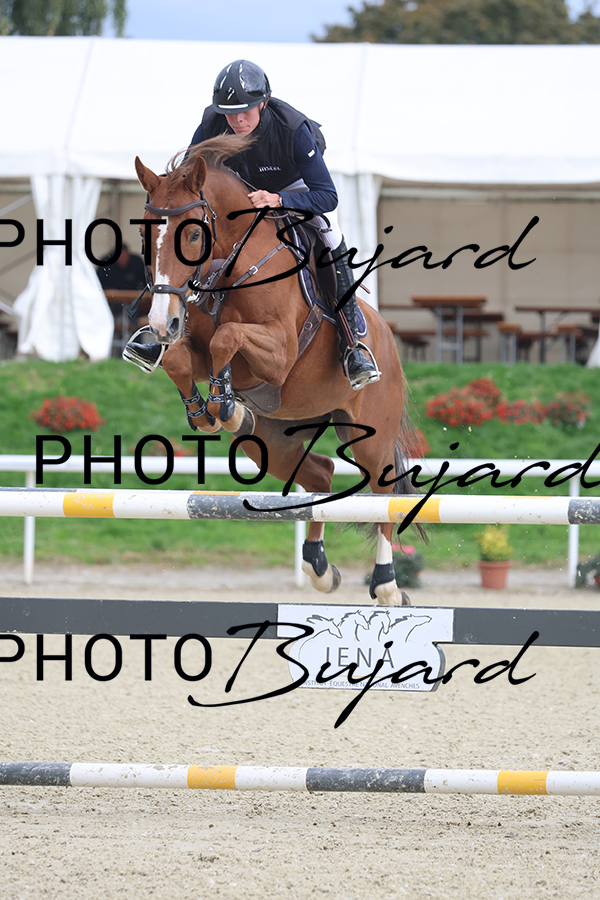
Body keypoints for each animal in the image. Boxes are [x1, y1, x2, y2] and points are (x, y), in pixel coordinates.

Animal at [133, 134, 420, 606]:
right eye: (145, 232)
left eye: (192, 233)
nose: (161, 322)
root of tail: (387, 337)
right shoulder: (194, 346)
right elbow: (182, 355)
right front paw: (209, 410)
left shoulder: (281, 353)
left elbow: (227, 335)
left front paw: (222, 404)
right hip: (273, 440)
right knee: (320, 473)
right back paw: (319, 568)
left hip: (372, 433)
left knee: (383, 493)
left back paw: (387, 585)